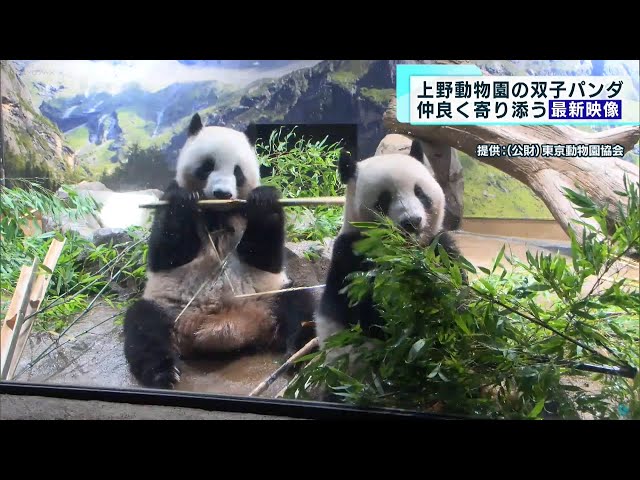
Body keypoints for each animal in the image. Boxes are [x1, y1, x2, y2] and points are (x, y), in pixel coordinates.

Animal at [123, 113, 316, 389]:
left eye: (237, 172)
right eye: (207, 166)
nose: (222, 193)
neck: (218, 213)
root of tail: (229, 329)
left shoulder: (244, 214)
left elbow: (266, 258)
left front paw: (264, 201)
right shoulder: (167, 198)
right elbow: (165, 255)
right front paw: (183, 203)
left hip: (270, 297)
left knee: (301, 303)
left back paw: (301, 355)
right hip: (171, 309)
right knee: (144, 327)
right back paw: (163, 373)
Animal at [315, 139, 466, 368]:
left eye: (419, 192)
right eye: (384, 199)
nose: (412, 222)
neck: (405, 249)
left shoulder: (437, 246)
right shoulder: (354, 254)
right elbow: (372, 313)